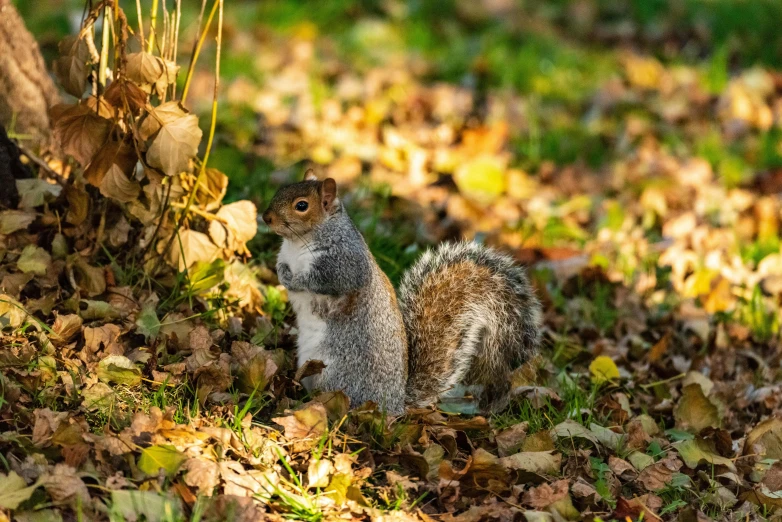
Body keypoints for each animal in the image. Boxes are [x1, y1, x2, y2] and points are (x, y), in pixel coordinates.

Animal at [264, 171, 544, 414]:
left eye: (301, 206)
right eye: (281, 189)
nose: (267, 218)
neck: (298, 242)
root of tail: (395, 405)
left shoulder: (345, 264)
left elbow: (326, 281)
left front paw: (295, 279)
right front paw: (281, 271)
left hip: (336, 375)